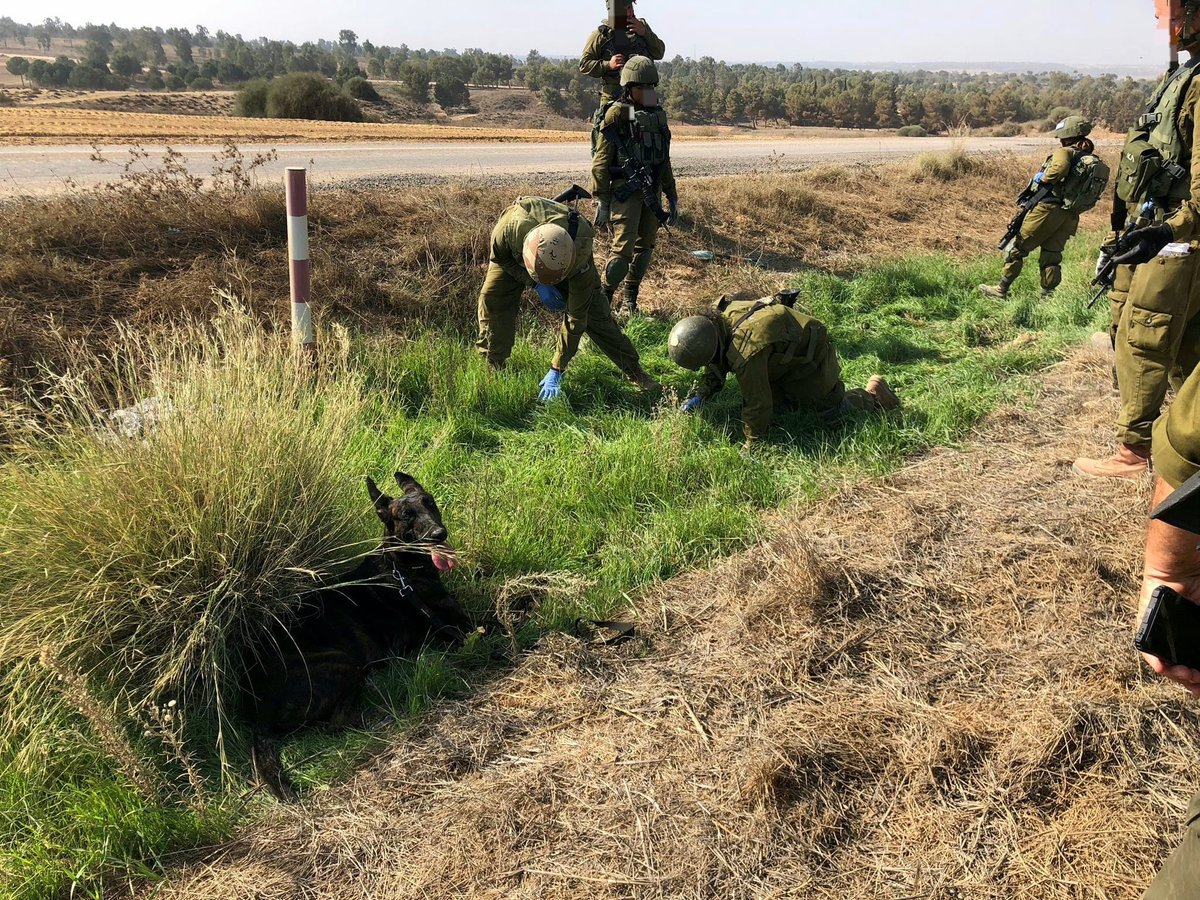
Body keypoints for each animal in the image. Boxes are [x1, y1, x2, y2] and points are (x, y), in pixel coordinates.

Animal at [243, 472, 468, 801]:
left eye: (429, 502)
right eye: (406, 515)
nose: (440, 534)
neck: (400, 567)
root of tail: (258, 710)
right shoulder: (456, 626)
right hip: (343, 664)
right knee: (337, 726)